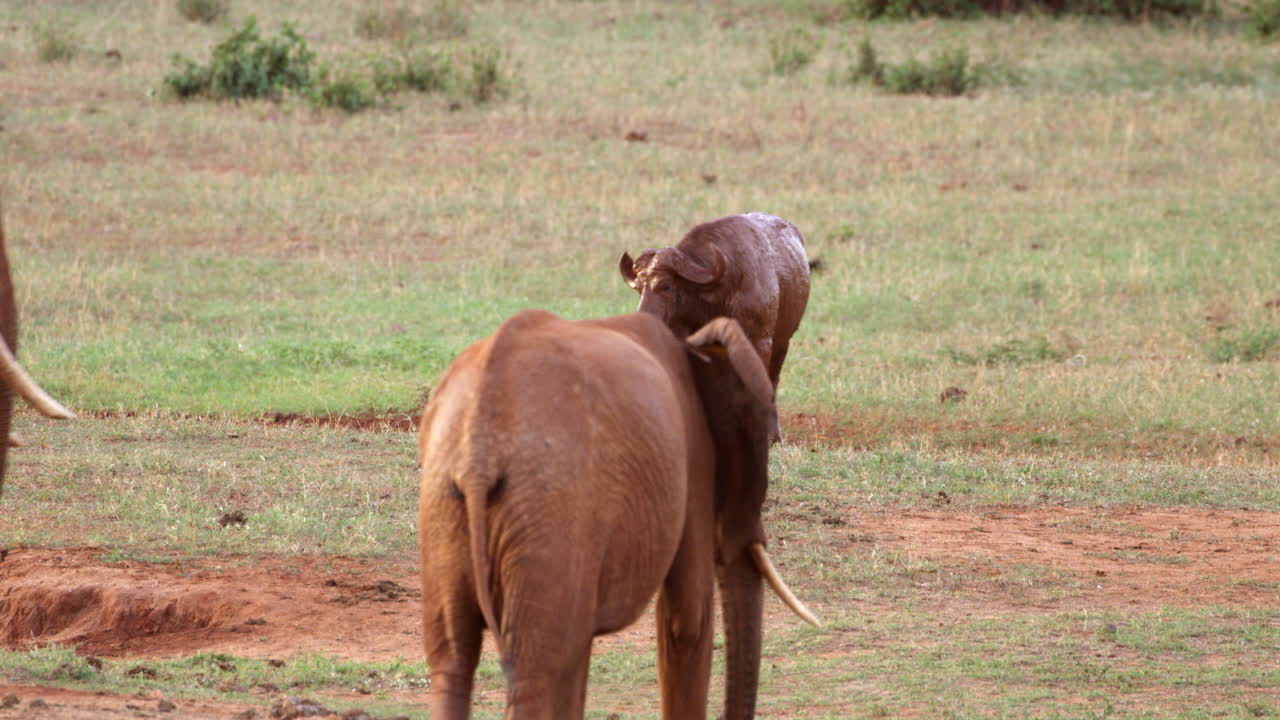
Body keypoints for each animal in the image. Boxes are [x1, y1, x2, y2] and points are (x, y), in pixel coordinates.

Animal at [417, 309, 817, 720]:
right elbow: (687, 620)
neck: (694, 342)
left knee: (454, 660)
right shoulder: (692, 455)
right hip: (550, 508)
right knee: (535, 667)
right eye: (761, 431)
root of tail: (480, 451)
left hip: (446, 498)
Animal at [619, 213, 811, 443]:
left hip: (782, 344)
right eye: (639, 288)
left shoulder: (760, 342)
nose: (643, 319)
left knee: (772, 380)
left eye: (666, 286)